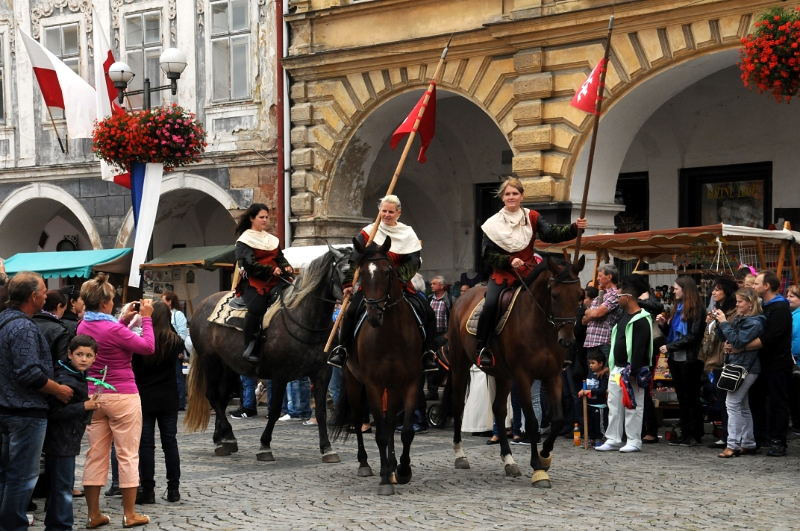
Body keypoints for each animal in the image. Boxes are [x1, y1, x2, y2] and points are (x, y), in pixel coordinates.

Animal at [186, 247, 352, 464]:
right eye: (345, 271)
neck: (305, 319)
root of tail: (201, 306)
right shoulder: (281, 374)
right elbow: (273, 411)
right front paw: (265, 446)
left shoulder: (322, 373)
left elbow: (321, 412)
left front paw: (327, 448)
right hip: (211, 360)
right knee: (213, 396)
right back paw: (228, 436)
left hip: (229, 366)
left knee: (221, 398)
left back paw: (222, 439)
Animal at [330, 239, 422, 496]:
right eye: (362, 274)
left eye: (387, 272)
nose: (373, 315)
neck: (390, 334)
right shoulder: (373, 384)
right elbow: (380, 432)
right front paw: (384, 480)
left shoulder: (409, 381)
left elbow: (405, 430)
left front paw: (402, 471)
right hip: (353, 381)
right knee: (357, 418)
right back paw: (366, 464)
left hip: (391, 387)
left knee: (390, 421)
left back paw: (391, 466)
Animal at [446, 256, 584, 488]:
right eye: (554, 295)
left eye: (580, 295)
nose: (567, 340)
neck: (540, 326)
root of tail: (462, 297)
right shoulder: (523, 377)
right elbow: (532, 421)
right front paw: (538, 468)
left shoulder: (553, 376)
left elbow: (556, 420)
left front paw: (545, 456)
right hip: (459, 363)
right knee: (458, 405)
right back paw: (460, 455)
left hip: (502, 375)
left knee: (499, 410)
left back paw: (509, 460)